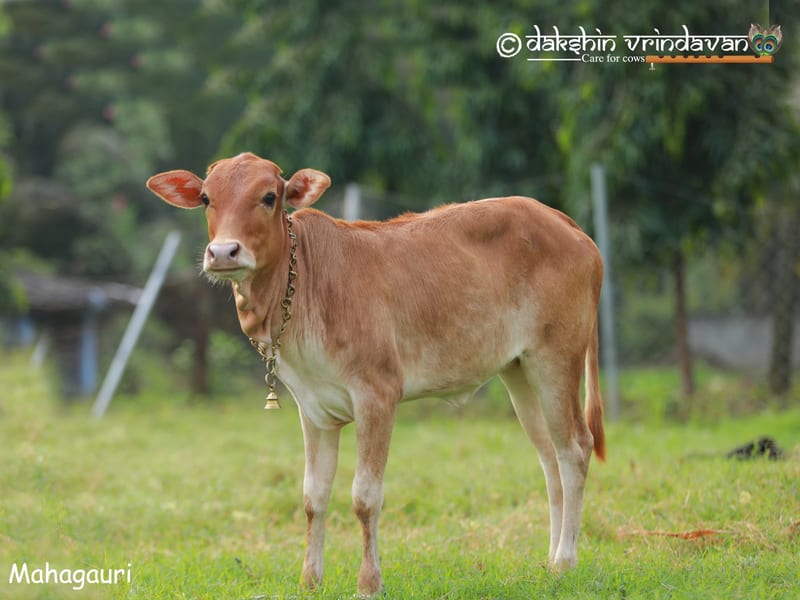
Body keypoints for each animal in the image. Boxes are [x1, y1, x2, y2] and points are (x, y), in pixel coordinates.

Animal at [147, 152, 605, 597]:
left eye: (269, 197)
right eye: (206, 198)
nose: (224, 252)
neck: (302, 289)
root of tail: (569, 226)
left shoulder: (378, 394)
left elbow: (365, 497)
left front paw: (369, 583)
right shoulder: (312, 407)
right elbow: (313, 496)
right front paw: (309, 580)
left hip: (556, 358)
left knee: (574, 449)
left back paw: (565, 563)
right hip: (519, 370)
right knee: (549, 457)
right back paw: (549, 563)